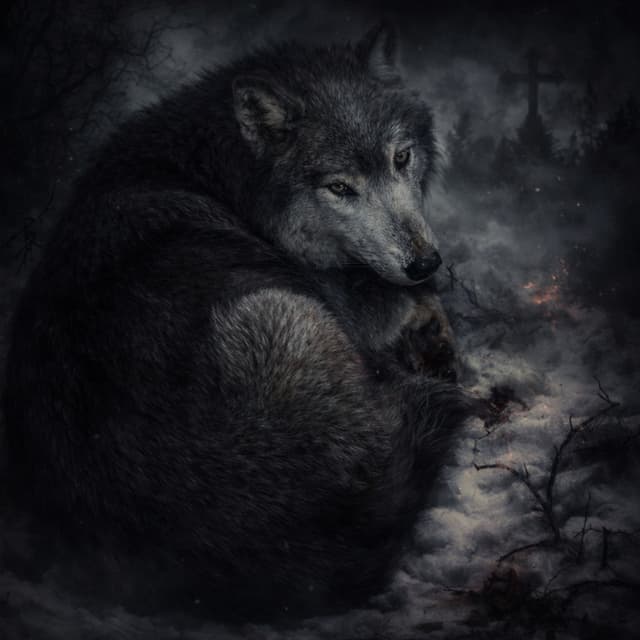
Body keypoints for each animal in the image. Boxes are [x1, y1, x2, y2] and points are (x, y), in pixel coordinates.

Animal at [3, 23, 468, 618]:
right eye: (340, 188)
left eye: (401, 158)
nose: (424, 262)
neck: (214, 176)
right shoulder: (341, 299)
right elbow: (409, 304)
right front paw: (427, 319)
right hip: (278, 311)